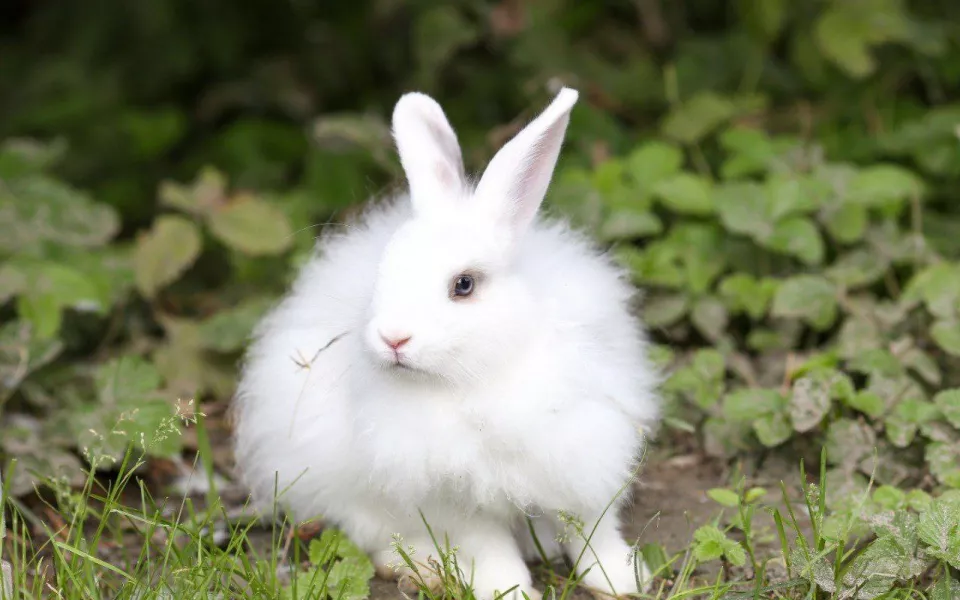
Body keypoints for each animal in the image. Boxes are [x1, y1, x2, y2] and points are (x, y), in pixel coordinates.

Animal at [234, 88, 660, 600]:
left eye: (464, 285)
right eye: (382, 273)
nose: (393, 337)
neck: (475, 381)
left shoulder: (585, 452)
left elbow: (592, 528)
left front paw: (622, 579)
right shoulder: (447, 495)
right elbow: (488, 546)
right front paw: (509, 590)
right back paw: (423, 567)